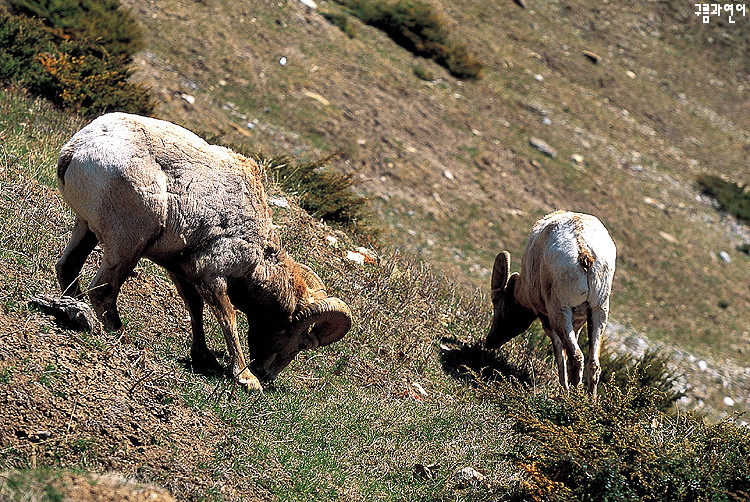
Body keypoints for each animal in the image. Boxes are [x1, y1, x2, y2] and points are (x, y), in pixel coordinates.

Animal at [55, 113, 356, 392]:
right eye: (301, 340)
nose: (267, 374)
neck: (259, 256)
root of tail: (77, 148)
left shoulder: (183, 271)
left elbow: (195, 309)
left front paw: (204, 358)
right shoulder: (212, 275)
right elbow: (228, 319)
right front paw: (246, 379)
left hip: (86, 229)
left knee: (68, 267)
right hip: (127, 244)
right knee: (103, 290)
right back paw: (122, 336)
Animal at [488, 211, 616, 396]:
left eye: (497, 304)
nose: (489, 342)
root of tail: (584, 253)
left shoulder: (546, 317)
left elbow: (559, 351)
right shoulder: (578, 321)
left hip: (560, 312)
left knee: (576, 357)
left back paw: (570, 397)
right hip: (599, 311)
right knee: (593, 364)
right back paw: (590, 401)